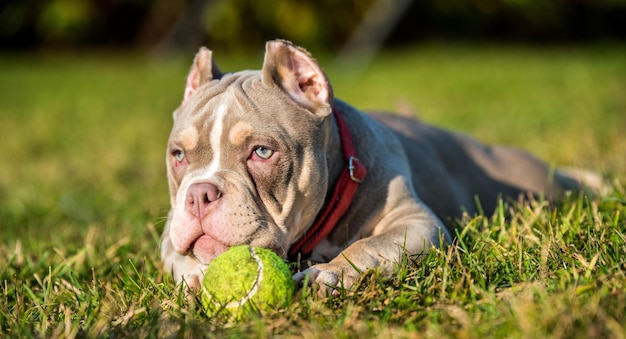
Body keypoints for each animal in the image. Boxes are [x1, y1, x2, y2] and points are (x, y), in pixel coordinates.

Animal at [158, 39, 588, 294]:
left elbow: (369, 245)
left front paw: (328, 273)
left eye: (262, 152)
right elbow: (179, 256)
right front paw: (197, 273)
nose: (199, 195)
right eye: (178, 155)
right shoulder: (168, 234)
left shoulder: (414, 223)